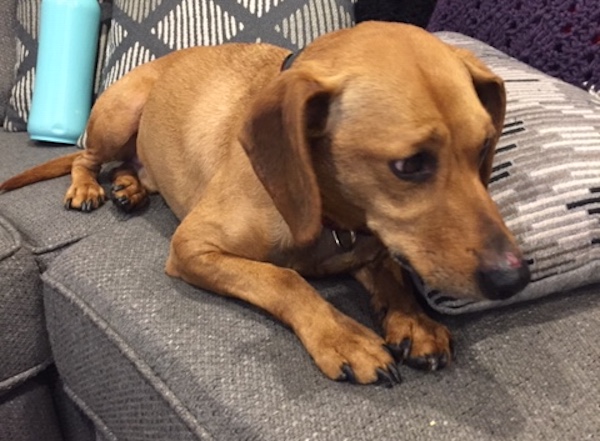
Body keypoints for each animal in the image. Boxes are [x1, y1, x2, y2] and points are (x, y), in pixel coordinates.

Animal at [3, 21, 528, 384]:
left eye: (485, 146)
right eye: (410, 165)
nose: (515, 279)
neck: (329, 214)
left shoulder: (371, 245)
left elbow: (390, 276)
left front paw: (415, 321)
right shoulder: (192, 246)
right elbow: (285, 279)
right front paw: (343, 336)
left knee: (128, 169)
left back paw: (129, 188)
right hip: (118, 115)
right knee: (85, 158)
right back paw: (88, 187)